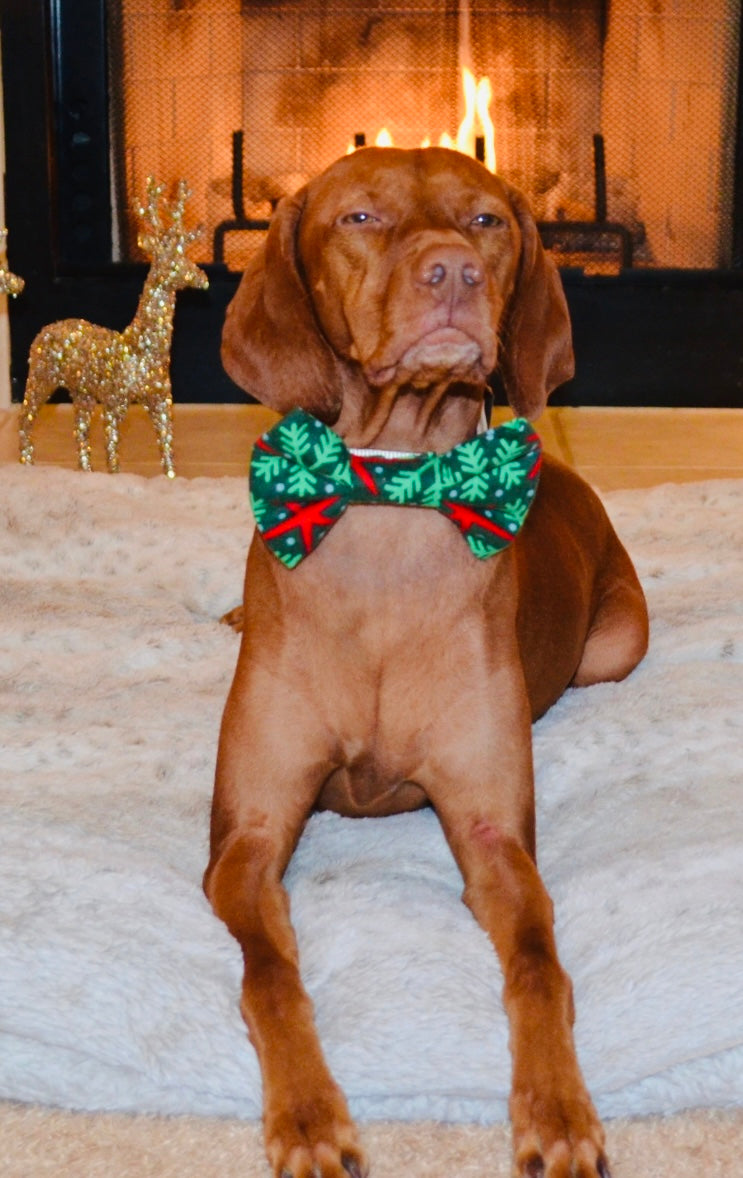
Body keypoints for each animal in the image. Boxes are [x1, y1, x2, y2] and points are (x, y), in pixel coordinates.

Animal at [204, 147, 649, 1178]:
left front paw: (557, 1111)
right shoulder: (246, 840)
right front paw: (307, 1118)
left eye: (486, 219)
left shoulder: (492, 840)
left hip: (616, 647)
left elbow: (539, 964)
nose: (453, 272)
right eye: (360, 216)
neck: (392, 499)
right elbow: (270, 977)